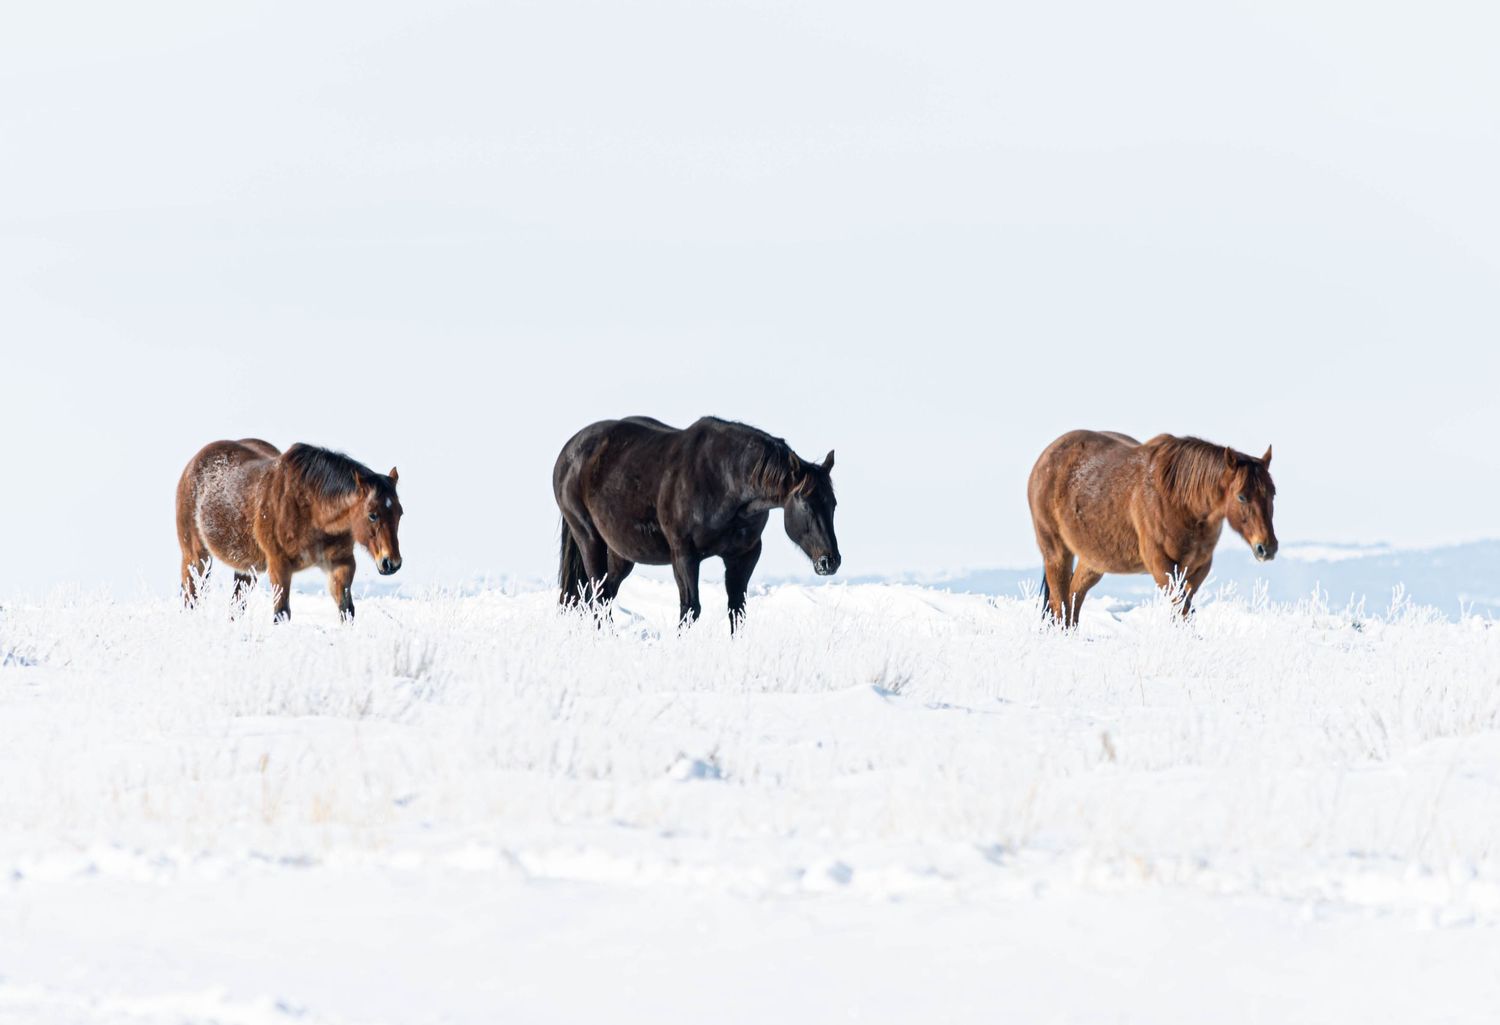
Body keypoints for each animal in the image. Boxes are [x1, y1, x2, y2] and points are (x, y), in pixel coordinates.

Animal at [175, 440, 403, 621]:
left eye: (400, 513)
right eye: (372, 514)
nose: (391, 563)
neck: (312, 510)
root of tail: (193, 463)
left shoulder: (342, 563)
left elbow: (346, 610)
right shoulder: (279, 564)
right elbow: (281, 613)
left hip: (245, 569)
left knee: (236, 606)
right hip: (196, 557)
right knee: (191, 599)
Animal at [553, 416, 840, 628]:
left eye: (833, 504)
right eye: (805, 504)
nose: (830, 561)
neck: (726, 480)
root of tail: (569, 452)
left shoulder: (743, 555)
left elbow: (737, 609)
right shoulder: (684, 555)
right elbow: (690, 609)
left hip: (621, 553)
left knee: (603, 597)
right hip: (589, 538)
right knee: (598, 597)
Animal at [1027, 431, 1277, 626]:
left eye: (1272, 493)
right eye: (1241, 496)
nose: (1267, 547)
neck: (1178, 500)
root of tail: (1045, 459)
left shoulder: (1196, 570)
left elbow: (1182, 610)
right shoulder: (1161, 565)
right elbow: (1183, 611)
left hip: (1092, 561)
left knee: (1073, 599)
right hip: (1057, 553)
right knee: (1060, 603)